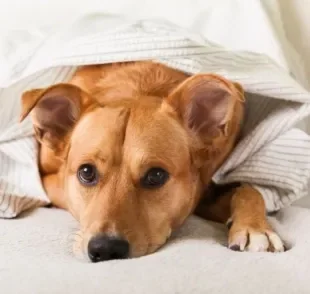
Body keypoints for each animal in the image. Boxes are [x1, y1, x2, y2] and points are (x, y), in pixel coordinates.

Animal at [20, 60, 284, 262]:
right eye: (86, 172)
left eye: (156, 175)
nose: (105, 249)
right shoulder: (47, 182)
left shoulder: (203, 188)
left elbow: (248, 189)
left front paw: (254, 228)